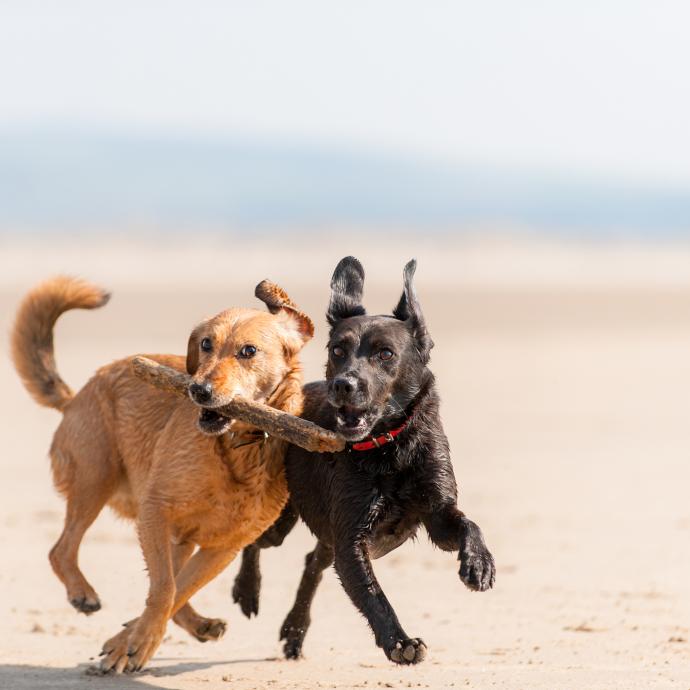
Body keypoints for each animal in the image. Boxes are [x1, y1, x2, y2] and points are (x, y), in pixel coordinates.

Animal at [11, 276, 312, 672]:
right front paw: (138, 642)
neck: (238, 448)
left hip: (177, 537)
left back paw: (197, 625)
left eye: (248, 351)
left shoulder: (224, 547)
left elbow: (178, 588)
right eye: (205, 344)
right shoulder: (155, 512)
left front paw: (130, 641)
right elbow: (165, 590)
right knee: (61, 550)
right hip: (96, 480)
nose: (198, 390)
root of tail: (74, 397)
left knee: (163, 577)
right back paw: (83, 594)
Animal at [232, 256, 494, 660]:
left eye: (385, 353)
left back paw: (294, 631)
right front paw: (400, 642)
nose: (343, 384)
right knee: (257, 542)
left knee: (312, 564)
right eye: (337, 351)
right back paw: (247, 590)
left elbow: (468, 524)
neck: (390, 447)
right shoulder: (351, 538)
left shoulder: (436, 514)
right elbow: (374, 596)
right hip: (284, 520)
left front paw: (479, 564)